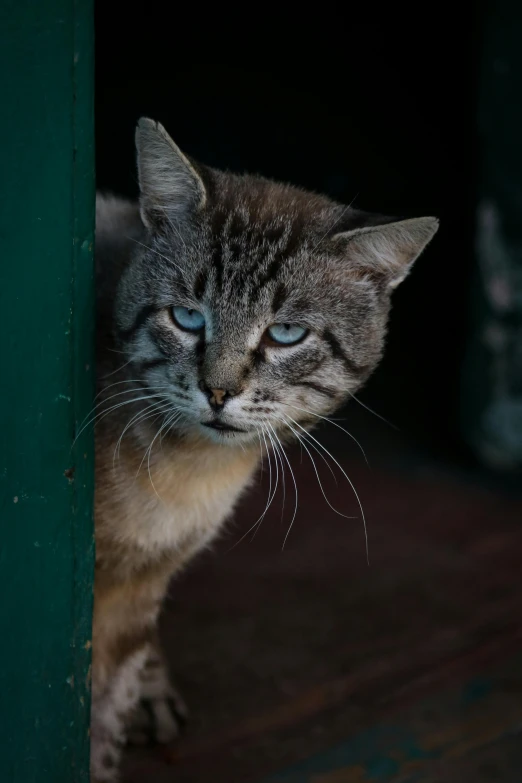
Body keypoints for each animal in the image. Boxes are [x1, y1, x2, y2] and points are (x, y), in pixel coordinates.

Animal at [89, 118, 434, 783]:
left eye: (286, 334)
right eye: (187, 317)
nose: (219, 391)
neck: (187, 473)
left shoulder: (133, 598)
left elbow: (102, 724)